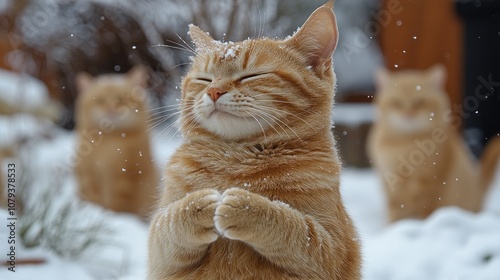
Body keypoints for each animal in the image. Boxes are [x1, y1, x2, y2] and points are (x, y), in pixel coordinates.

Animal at [146, 2, 362, 280]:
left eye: (252, 75)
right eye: (204, 79)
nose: (213, 91)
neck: (236, 159)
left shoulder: (335, 247)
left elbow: (293, 225)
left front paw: (245, 205)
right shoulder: (159, 251)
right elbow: (168, 222)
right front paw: (199, 205)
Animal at [368, 64, 500, 222]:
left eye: (420, 102)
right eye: (396, 103)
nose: (408, 114)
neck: (405, 145)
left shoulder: (430, 182)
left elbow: (425, 209)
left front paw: (420, 224)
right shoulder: (389, 181)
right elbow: (395, 209)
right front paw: (395, 226)